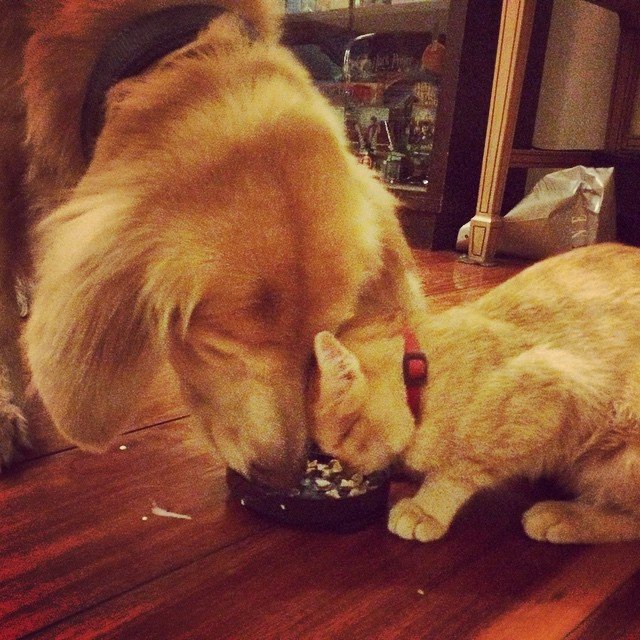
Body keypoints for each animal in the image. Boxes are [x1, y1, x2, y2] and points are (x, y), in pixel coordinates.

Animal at [310, 242, 640, 544]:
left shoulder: (553, 392)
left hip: (621, 452)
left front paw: (425, 507)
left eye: (344, 436)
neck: (424, 376)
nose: (351, 470)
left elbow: (457, 468)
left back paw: (565, 516)